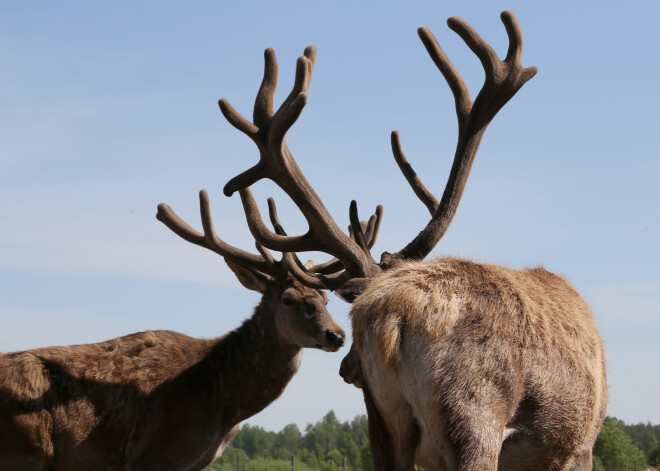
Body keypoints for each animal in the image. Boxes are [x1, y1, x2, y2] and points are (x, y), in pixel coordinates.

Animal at [0, 47, 348, 468]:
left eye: (325, 298)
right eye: (288, 298)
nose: (337, 334)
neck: (223, 406)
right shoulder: (159, 453)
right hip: (24, 450)